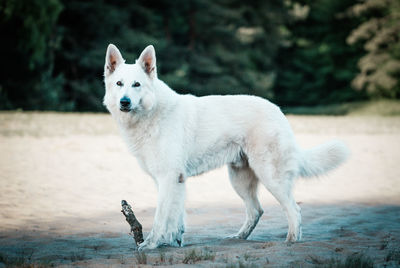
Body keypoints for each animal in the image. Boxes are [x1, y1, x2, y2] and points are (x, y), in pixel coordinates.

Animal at [104, 43, 350, 250]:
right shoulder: (173, 180)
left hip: (271, 177)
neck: (151, 113)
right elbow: (176, 218)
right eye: (119, 84)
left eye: (137, 85)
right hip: (240, 180)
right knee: (256, 211)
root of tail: (278, 111)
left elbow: (161, 218)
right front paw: (174, 243)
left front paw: (151, 244)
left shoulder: (168, 178)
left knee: (294, 209)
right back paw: (239, 237)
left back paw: (291, 241)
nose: (124, 102)